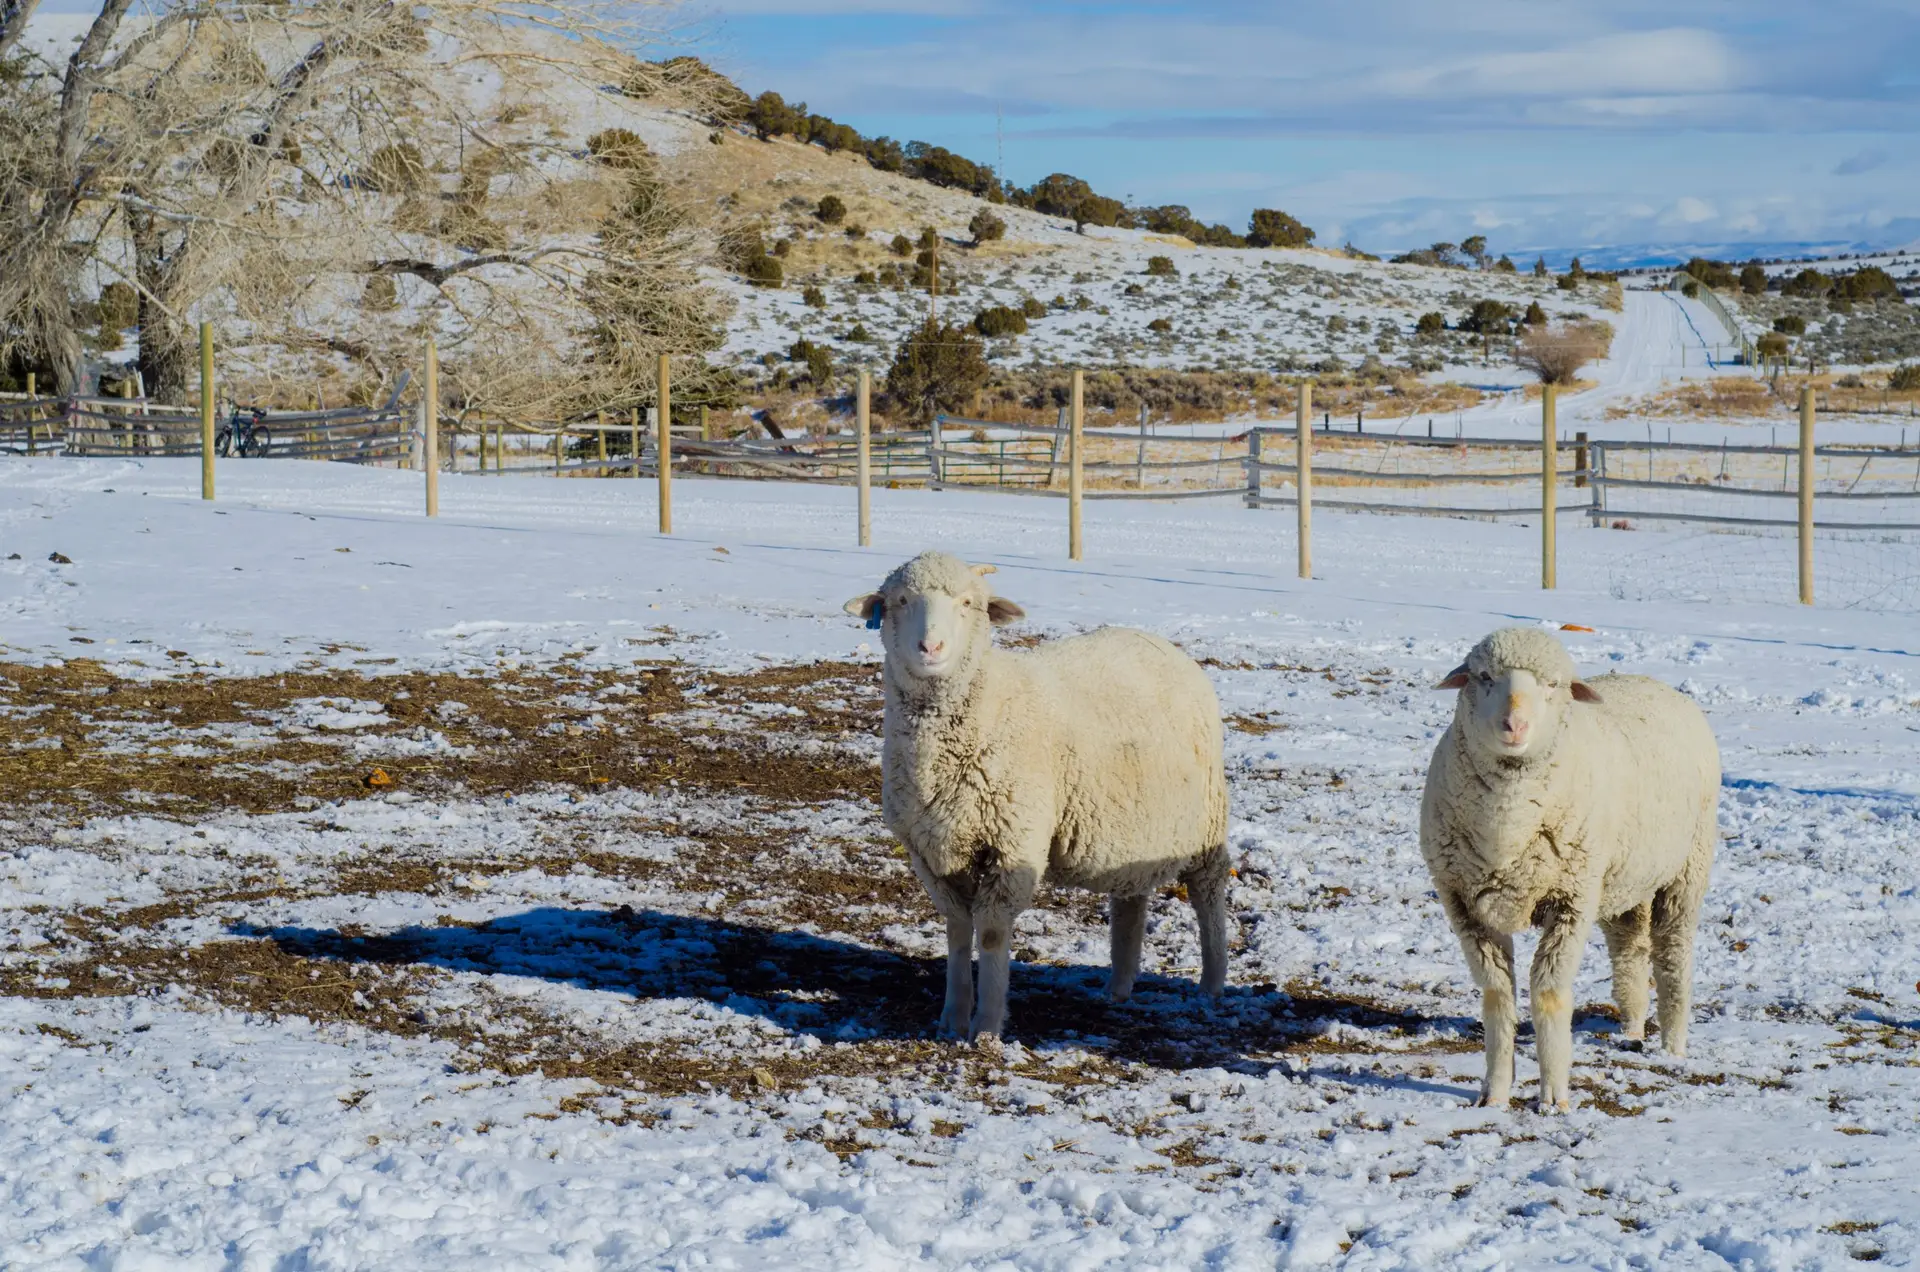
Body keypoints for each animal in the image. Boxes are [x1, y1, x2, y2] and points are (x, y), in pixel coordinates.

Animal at [844, 550, 1231, 1041]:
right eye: (901, 600)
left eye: (969, 603)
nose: (931, 648)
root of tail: (1161, 643)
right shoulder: (929, 853)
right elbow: (956, 930)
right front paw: (952, 1018)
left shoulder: (1013, 843)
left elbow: (991, 934)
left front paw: (987, 1027)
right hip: (1133, 825)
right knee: (1130, 899)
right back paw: (1118, 987)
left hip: (1207, 825)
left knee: (1208, 895)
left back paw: (1211, 984)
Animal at [1420, 626, 1719, 1112]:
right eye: (1484, 677)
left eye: (1553, 685)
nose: (1515, 725)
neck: (1507, 827)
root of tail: (1652, 681)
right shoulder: (1465, 905)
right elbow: (1497, 995)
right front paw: (1495, 1093)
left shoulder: (1570, 903)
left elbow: (1548, 994)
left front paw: (1554, 1097)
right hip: (1621, 881)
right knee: (1631, 950)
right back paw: (1632, 1026)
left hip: (1685, 871)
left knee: (1672, 955)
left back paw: (1673, 1046)